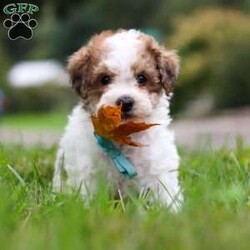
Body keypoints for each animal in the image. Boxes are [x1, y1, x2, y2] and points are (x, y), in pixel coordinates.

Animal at [52, 28, 182, 210]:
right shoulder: (89, 170)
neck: (123, 134)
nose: (125, 102)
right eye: (104, 79)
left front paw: (172, 211)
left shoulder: (158, 165)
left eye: (142, 78)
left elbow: (165, 191)